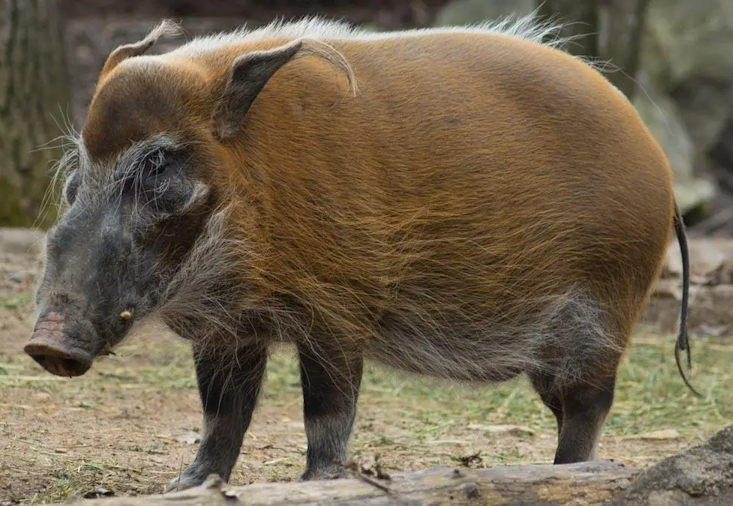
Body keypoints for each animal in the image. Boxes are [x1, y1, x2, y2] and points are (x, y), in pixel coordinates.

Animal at [26, 14, 694, 492]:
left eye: (159, 164)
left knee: (589, 408)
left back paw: (566, 476)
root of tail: (662, 171)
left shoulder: (339, 312)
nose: (46, 344)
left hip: (601, 320)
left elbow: (327, 410)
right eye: (79, 173)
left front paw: (317, 483)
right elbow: (222, 415)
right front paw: (184, 487)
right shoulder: (228, 330)